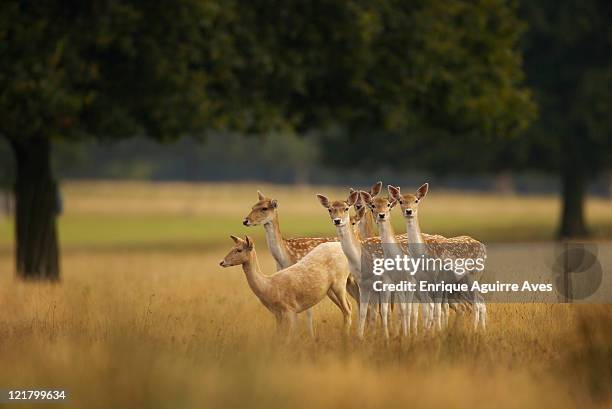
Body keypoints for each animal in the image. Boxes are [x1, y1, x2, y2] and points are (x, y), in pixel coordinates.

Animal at [221, 234, 354, 336]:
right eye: (232, 247)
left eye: (239, 250)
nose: (222, 262)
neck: (269, 287)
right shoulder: (277, 313)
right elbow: (279, 335)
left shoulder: (289, 309)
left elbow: (288, 338)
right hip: (329, 289)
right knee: (346, 309)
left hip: (340, 282)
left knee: (348, 308)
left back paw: (345, 337)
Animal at [390, 183, 486, 330]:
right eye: (401, 201)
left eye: (416, 201)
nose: (409, 211)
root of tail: (483, 247)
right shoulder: (422, 282)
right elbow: (429, 310)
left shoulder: (439, 279)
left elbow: (437, 310)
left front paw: (438, 331)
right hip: (463, 280)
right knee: (480, 301)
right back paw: (482, 328)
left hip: (473, 275)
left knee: (477, 303)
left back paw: (475, 329)